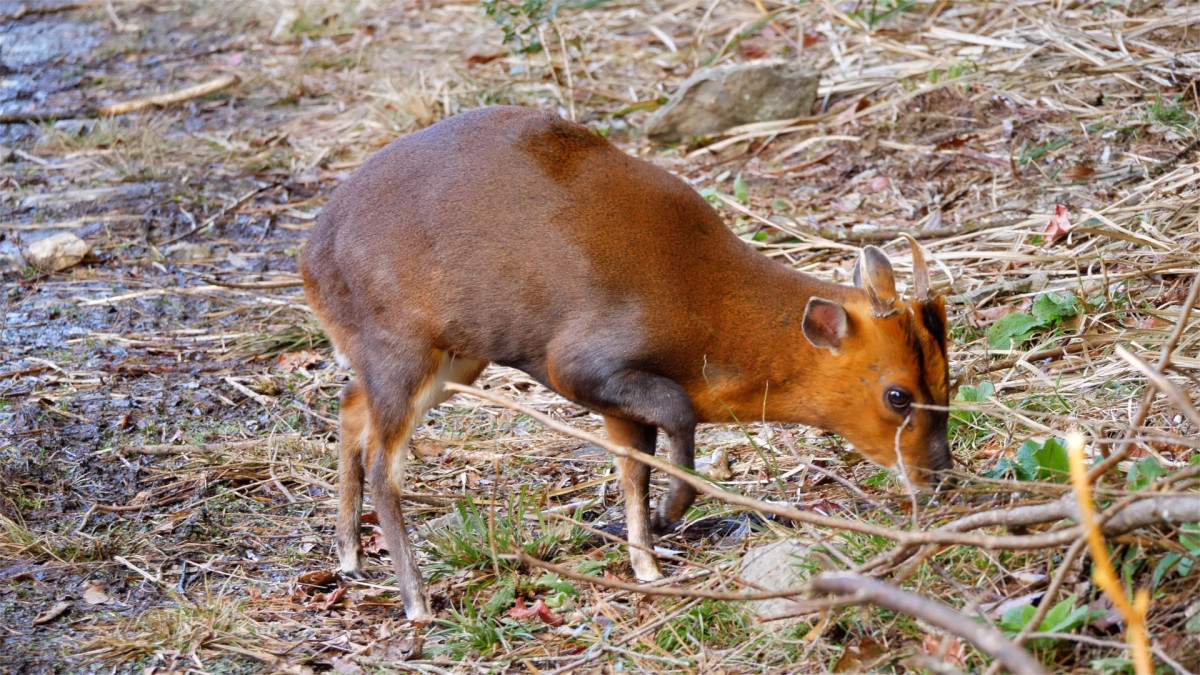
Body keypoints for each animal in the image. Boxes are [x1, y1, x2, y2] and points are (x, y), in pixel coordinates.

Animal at [304, 106, 950, 619]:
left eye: (950, 381)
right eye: (897, 394)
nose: (939, 475)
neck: (710, 313)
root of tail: (310, 259)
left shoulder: (614, 402)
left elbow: (632, 469)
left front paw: (648, 567)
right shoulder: (579, 363)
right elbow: (678, 413)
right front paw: (670, 514)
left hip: (452, 357)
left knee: (350, 405)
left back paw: (350, 558)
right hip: (401, 343)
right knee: (385, 466)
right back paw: (415, 600)